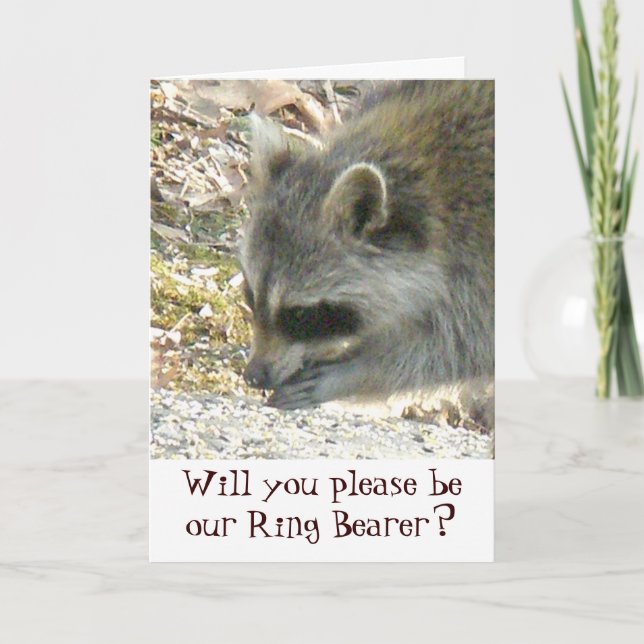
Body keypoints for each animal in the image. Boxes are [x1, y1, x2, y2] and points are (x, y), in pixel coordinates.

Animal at [239, 80, 494, 410]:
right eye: (250, 294)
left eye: (301, 316)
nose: (254, 376)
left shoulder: (483, 259)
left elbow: (464, 349)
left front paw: (356, 371)